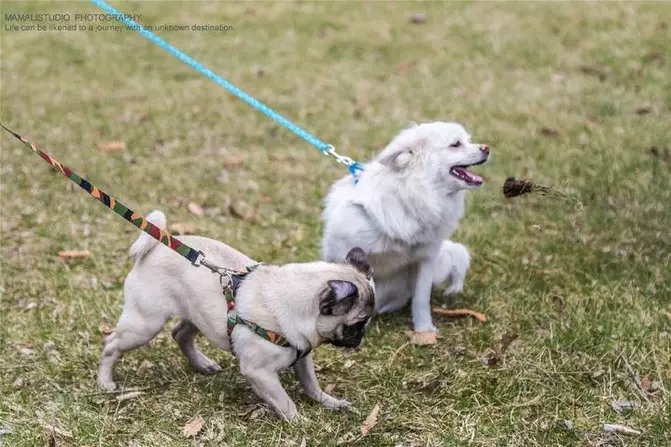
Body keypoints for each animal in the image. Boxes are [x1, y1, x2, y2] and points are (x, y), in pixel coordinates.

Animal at [97, 212, 376, 422]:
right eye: (358, 323)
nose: (361, 337)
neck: (297, 306)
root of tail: (155, 247)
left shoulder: (302, 356)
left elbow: (311, 385)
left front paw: (328, 401)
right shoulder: (260, 373)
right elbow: (285, 401)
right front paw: (299, 421)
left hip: (198, 315)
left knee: (180, 334)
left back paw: (203, 364)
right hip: (145, 324)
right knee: (112, 344)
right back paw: (105, 382)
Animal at [320, 122, 488, 332]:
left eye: (468, 140)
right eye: (456, 144)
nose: (487, 148)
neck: (413, 194)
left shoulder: (426, 259)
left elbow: (421, 299)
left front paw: (424, 329)